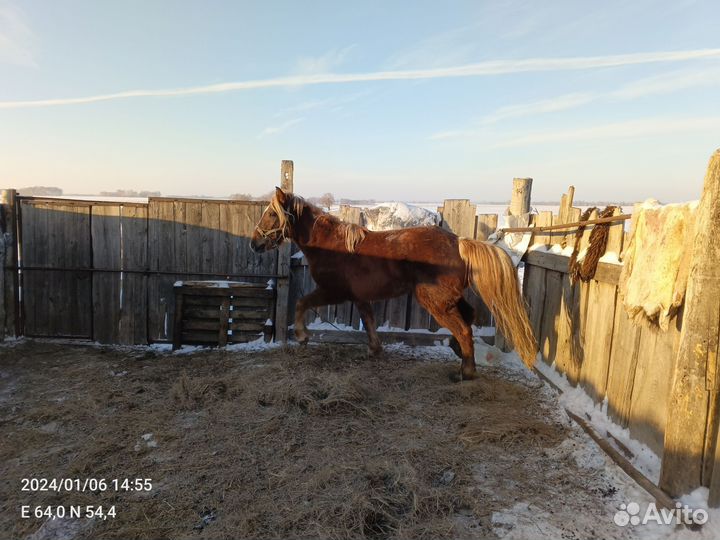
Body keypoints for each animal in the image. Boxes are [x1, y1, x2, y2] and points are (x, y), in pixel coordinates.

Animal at [250, 187, 537, 380]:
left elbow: (301, 303)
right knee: (468, 317)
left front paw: (302, 336)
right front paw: (374, 350)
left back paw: (465, 371)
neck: (332, 245)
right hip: (448, 298)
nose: (255, 244)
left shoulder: (333, 292)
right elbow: (369, 321)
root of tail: (458, 242)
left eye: (272, 215)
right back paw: (461, 354)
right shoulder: (359, 297)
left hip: (435, 301)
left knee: (464, 329)